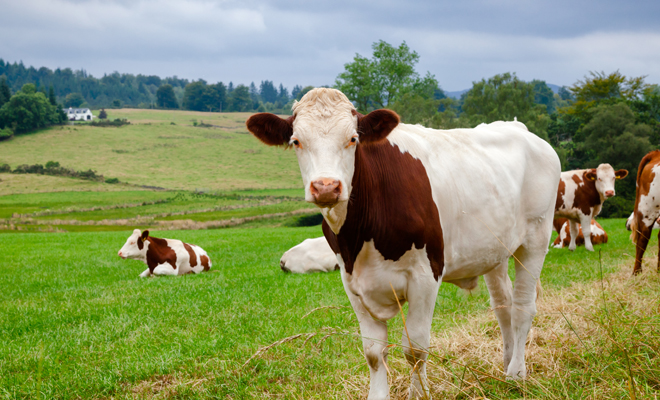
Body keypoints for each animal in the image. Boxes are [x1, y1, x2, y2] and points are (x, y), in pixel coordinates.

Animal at [246, 88, 560, 399]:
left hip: (536, 238)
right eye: (296, 141)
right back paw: (506, 364)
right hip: (494, 251)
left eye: (353, 139)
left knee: (522, 307)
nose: (326, 187)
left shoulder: (425, 276)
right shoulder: (351, 281)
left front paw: (419, 393)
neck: (361, 236)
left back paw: (516, 374)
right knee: (503, 306)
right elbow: (373, 352)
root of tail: (518, 127)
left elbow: (416, 349)